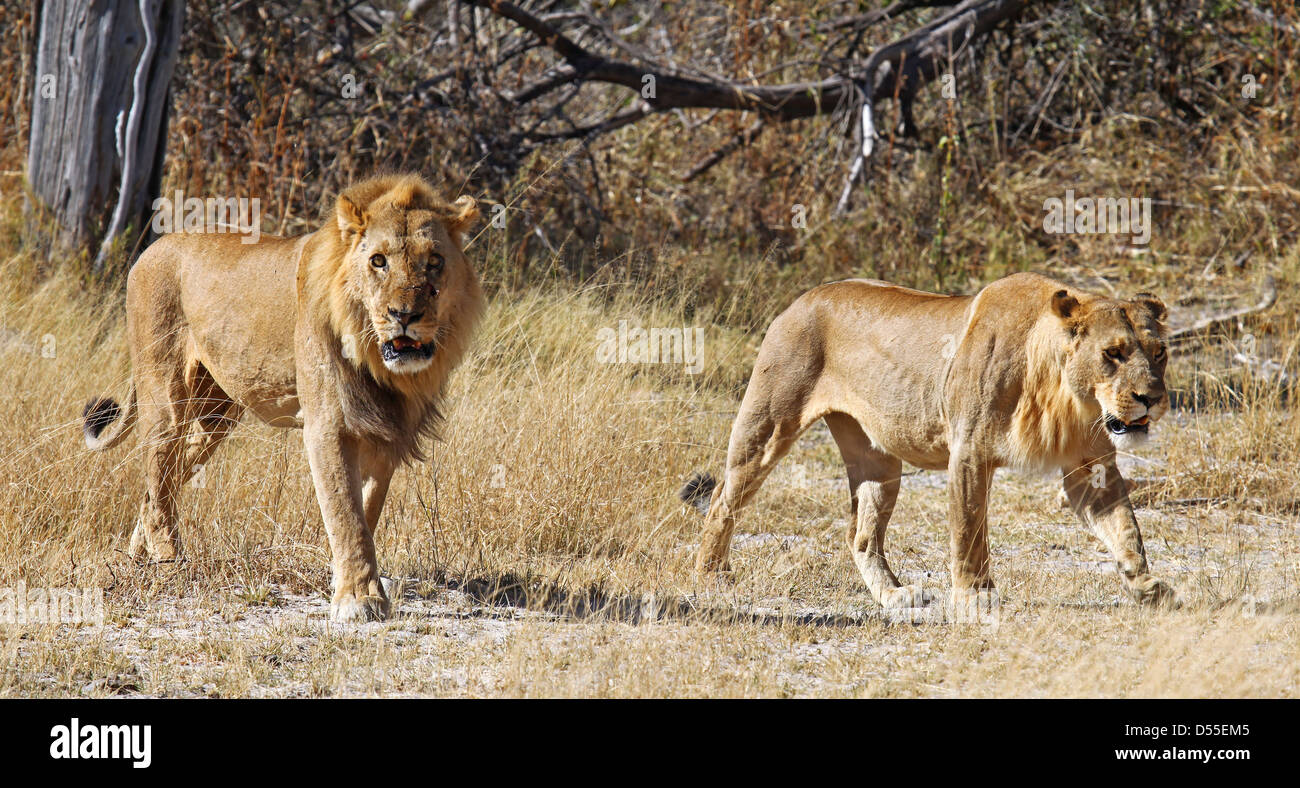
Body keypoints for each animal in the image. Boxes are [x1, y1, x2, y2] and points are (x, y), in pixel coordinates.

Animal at [83, 173, 482, 621]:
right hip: (166, 397)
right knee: (158, 474)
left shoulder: (387, 434)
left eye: (434, 262)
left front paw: (347, 582)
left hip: (215, 418)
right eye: (378, 261)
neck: (379, 363)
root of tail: (150, 250)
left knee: (161, 486)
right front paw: (360, 599)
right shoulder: (327, 425)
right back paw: (170, 563)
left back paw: (137, 559)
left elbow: (366, 511)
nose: (404, 316)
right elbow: (346, 514)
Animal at [680, 272, 1177, 610]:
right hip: (767, 425)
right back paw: (711, 577)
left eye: (1159, 353)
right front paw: (975, 597)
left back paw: (895, 596)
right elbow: (969, 531)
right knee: (724, 499)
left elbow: (1125, 526)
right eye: (1112, 353)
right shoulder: (970, 452)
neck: (1066, 393)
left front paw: (1145, 585)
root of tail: (800, 299)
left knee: (861, 535)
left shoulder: (1091, 464)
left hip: (878, 462)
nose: (1151, 399)